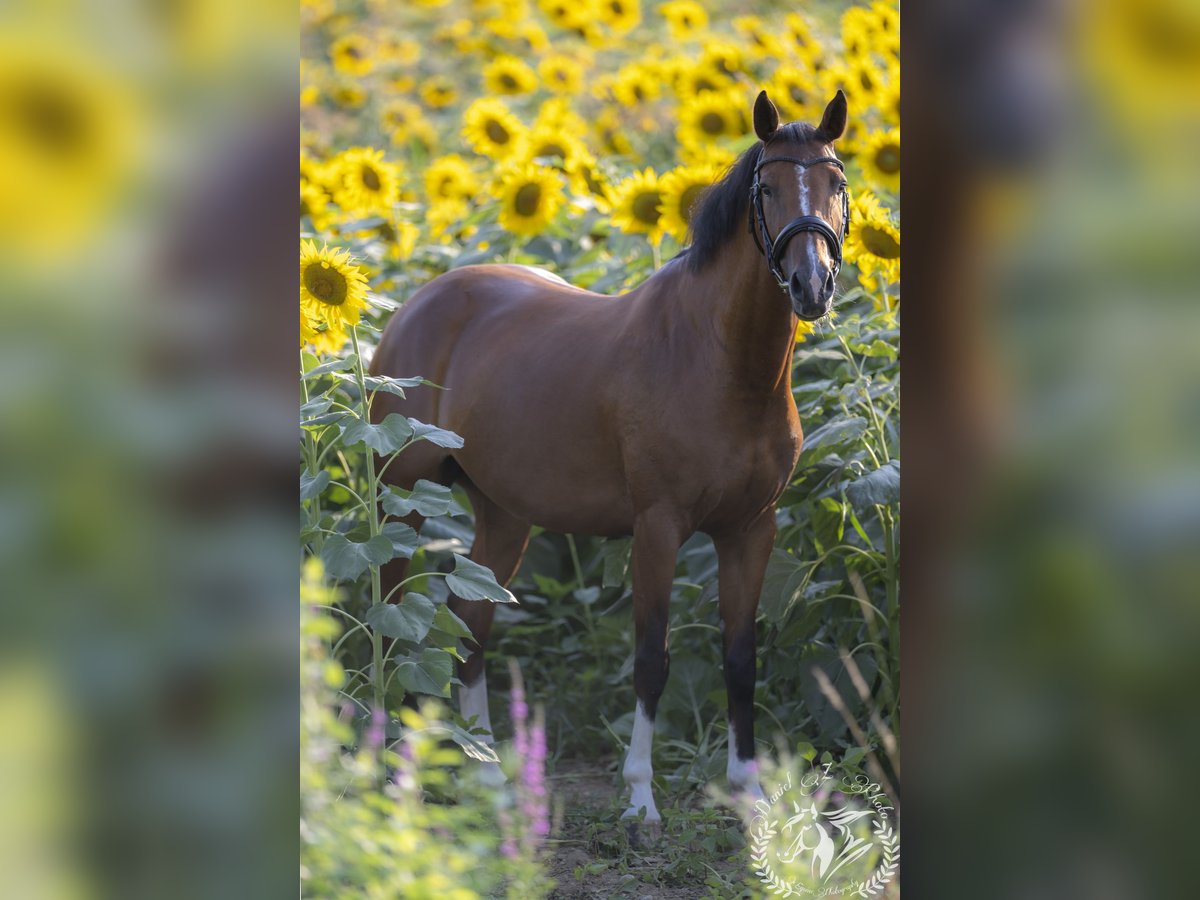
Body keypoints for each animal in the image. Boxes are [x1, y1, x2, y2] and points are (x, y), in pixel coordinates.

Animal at [369, 91, 849, 830]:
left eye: (837, 183)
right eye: (767, 188)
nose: (811, 284)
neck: (721, 363)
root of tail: (416, 304)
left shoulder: (752, 529)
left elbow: (741, 658)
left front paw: (749, 793)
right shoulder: (658, 528)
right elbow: (652, 658)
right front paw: (641, 799)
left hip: (504, 516)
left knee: (473, 623)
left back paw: (488, 771)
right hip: (403, 496)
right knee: (392, 616)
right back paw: (390, 765)